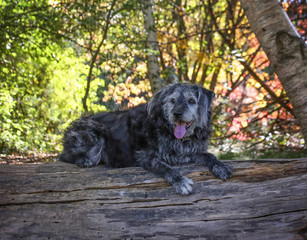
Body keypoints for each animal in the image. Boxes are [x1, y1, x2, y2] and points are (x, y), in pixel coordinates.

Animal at [60, 83, 233, 194]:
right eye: (172, 100)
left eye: (191, 101)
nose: (176, 114)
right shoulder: (144, 156)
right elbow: (164, 166)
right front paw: (180, 181)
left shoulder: (191, 151)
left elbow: (208, 155)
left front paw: (220, 166)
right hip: (94, 131)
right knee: (65, 156)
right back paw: (84, 160)